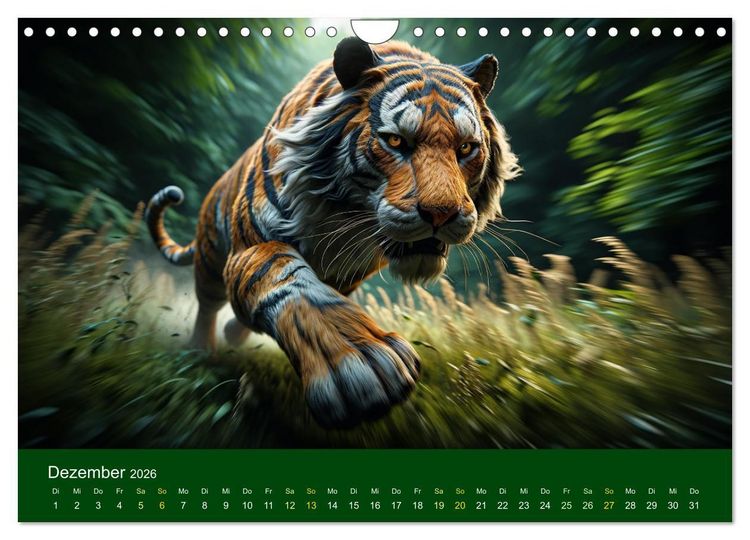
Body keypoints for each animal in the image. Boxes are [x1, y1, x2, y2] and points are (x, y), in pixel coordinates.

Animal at [145, 37, 520, 428]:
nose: (442, 213)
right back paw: (201, 349)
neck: (345, 216)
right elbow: (290, 282)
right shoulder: (251, 246)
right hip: (209, 259)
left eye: (466, 148)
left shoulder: (347, 274)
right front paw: (362, 362)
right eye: (396, 142)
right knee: (208, 304)